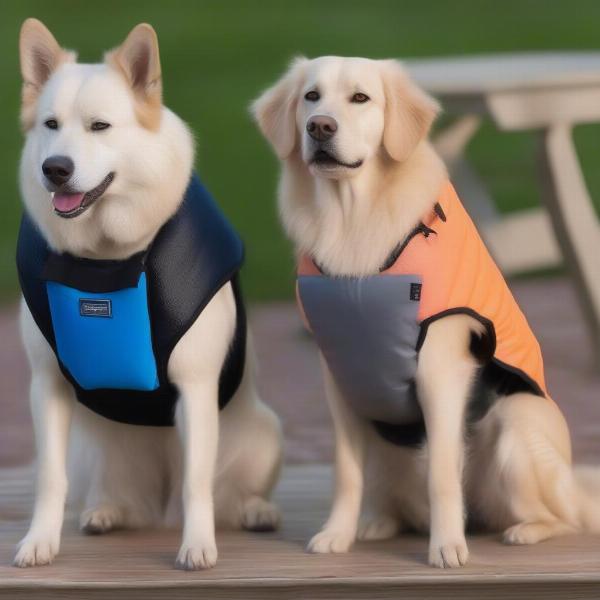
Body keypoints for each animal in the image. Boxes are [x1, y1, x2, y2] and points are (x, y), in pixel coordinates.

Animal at [15, 18, 282, 568]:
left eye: (100, 127)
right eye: (50, 125)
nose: (55, 168)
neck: (105, 257)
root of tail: (159, 506)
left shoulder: (196, 388)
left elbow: (197, 484)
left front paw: (198, 546)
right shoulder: (46, 386)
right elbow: (50, 479)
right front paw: (39, 542)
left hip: (265, 434)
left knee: (220, 493)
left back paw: (254, 510)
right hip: (90, 451)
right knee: (109, 493)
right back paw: (105, 511)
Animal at [253, 56, 600, 568]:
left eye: (361, 98)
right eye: (311, 97)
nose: (319, 127)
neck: (351, 218)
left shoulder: (439, 370)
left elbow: (441, 474)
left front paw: (447, 547)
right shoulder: (340, 381)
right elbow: (346, 474)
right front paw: (336, 535)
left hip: (515, 426)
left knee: (563, 516)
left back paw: (524, 530)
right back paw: (377, 523)